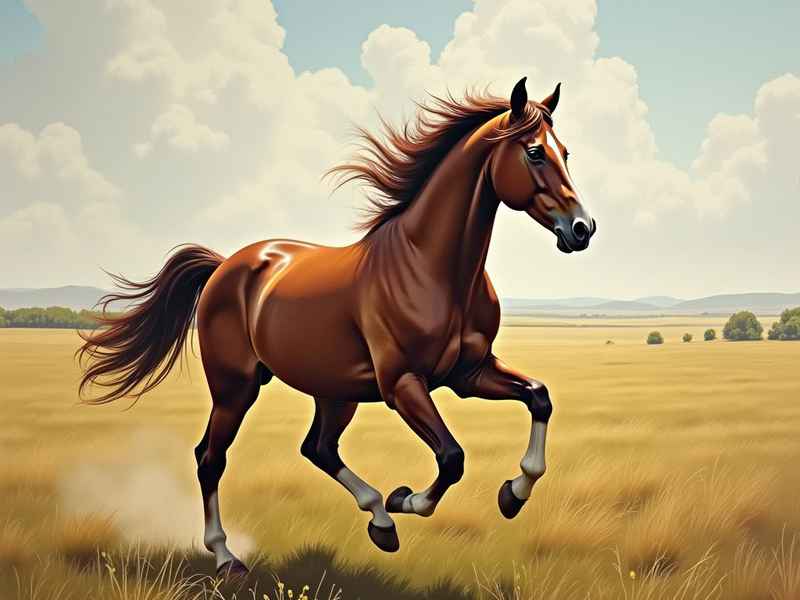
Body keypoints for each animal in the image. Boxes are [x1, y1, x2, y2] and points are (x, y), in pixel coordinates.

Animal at [77, 77, 595, 579]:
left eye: (567, 152)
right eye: (535, 152)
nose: (582, 229)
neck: (431, 268)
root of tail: (227, 265)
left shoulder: (469, 374)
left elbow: (539, 397)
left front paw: (512, 494)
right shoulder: (402, 384)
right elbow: (452, 458)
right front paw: (407, 498)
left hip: (334, 390)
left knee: (318, 448)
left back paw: (379, 520)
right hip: (235, 388)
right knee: (211, 459)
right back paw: (228, 557)